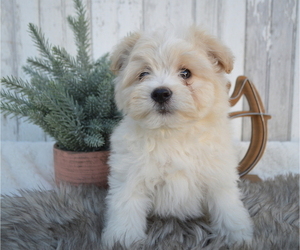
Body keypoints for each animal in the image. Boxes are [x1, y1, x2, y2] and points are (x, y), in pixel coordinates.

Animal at [101, 26, 253, 249]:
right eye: (143, 74)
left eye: (186, 73)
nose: (160, 93)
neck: (172, 133)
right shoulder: (130, 175)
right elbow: (126, 207)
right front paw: (123, 240)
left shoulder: (218, 176)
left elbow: (227, 207)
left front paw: (237, 236)